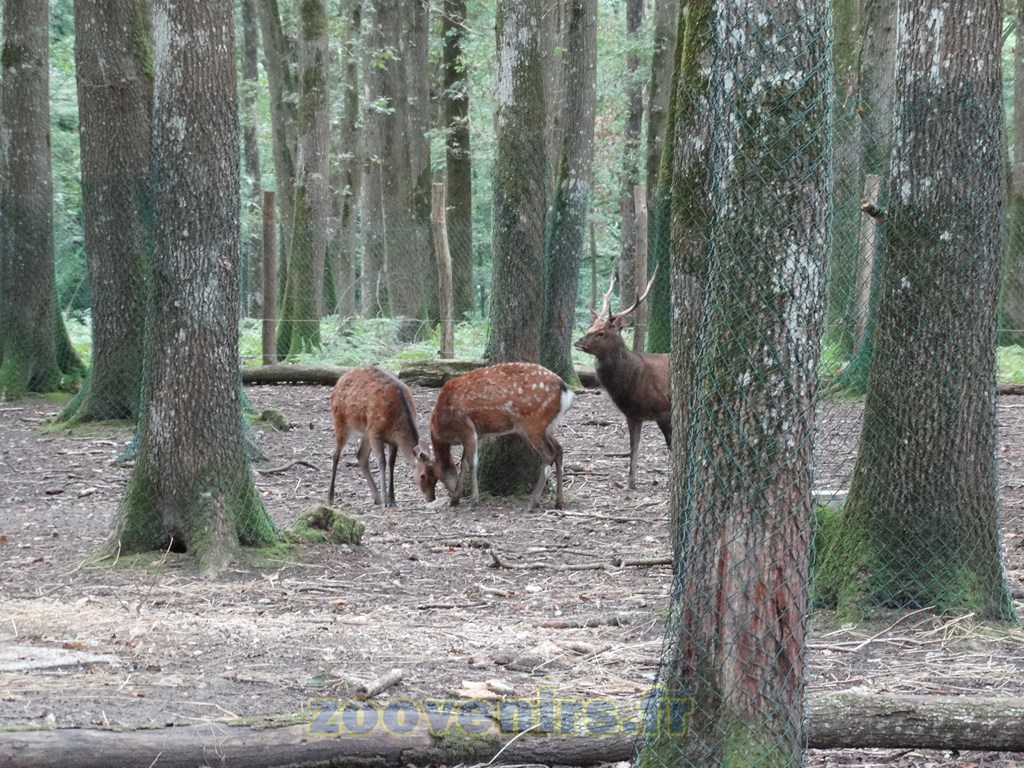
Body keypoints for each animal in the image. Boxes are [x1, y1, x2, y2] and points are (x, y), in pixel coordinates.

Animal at [328, 367, 435, 508]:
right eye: (422, 476)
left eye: (436, 475)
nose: (432, 498)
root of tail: (339, 380)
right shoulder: (375, 431)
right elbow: (382, 462)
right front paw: (386, 500)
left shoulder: (393, 440)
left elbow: (391, 464)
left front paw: (392, 499)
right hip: (341, 421)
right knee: (335, 455)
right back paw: (330, 497)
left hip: (366, 430)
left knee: (360, 454)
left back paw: (376, 497)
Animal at [416, 362, 574, 512]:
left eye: (422, 475)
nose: (429, 498)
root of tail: (566, 391)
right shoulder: (475, 435)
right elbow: (463, 463)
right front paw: (454, 499)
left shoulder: (466, 427)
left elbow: (472, 463)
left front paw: (473, 501)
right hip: (547, 427)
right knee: (559, 449)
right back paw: (559, 502)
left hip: (533, 424)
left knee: (548, 454)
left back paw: (532, 503)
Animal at [574, 266, 671, 490]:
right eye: (590, 328)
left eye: (601, 333)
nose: (578, 342)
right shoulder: (632, 414)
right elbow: (633, 448)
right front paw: (630, 483)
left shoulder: (664, 410)